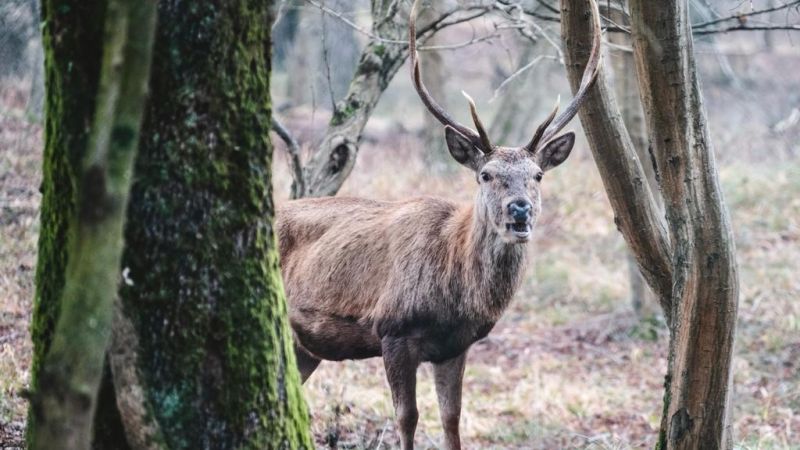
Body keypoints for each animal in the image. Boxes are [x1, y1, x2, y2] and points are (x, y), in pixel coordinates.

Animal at [276, 0, 601, 448]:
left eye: (537, 174)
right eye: (486, 175)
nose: (519, 210)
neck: (454, 290)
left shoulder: (455, 346)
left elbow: (452, 418)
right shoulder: (392, 330)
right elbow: (407, 417)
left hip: (304, 346)